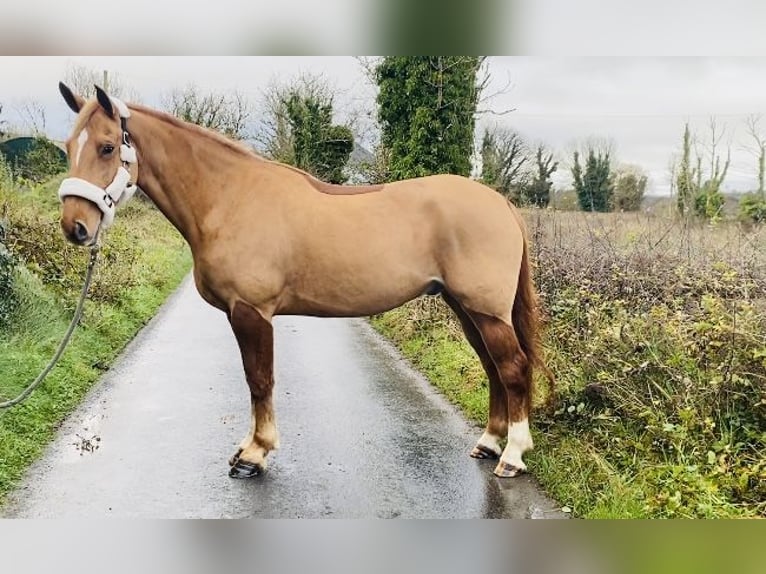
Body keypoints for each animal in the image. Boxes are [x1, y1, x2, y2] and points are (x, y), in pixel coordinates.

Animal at [58, 83, 552, 482]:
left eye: (106, 147)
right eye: (67, 146)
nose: (75, 227)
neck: (229, 197)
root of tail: (502, 204)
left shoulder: (251, 312)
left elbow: (259, 379)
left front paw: (253, 455)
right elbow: (256, 380)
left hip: (485, 310)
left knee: (512, 368)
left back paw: (512, 456)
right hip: (465, 308)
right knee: (492, 368)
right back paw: (488, 443)